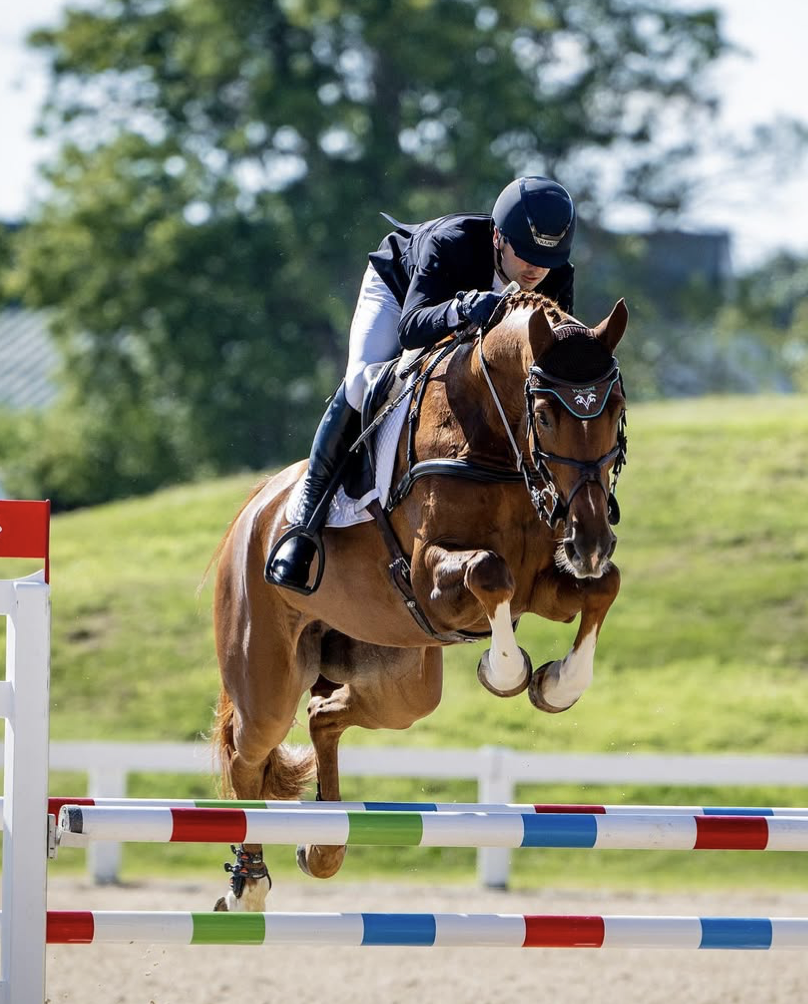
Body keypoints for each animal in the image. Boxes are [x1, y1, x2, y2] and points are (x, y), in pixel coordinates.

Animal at [210, 291, 629, 911]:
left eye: (615, 408)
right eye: (547, 414)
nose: (592, 540)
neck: (493, 442)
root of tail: (252, 512)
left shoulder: (548, 580)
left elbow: (602, 585)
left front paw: (556, 684)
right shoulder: (434, 578)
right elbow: (490, 573)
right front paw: (504, 671)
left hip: (401, 687)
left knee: (322, 716)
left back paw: (324, 844)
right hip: (266, 681)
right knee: (247, 759)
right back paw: (248, 886)